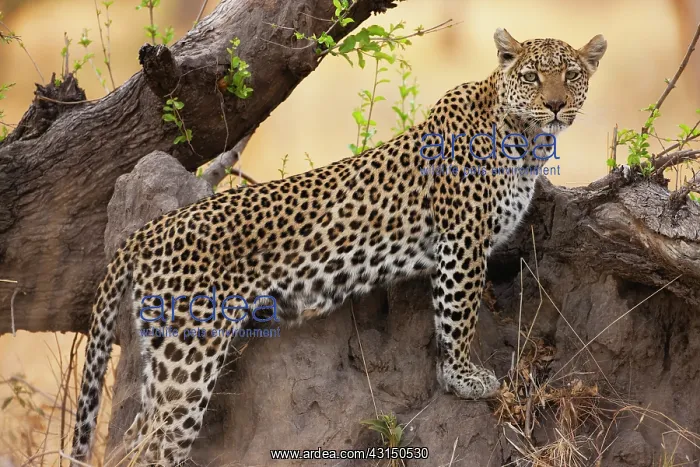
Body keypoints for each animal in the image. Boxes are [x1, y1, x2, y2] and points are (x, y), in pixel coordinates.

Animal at [71, 28, 606, 466]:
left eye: (572, 75)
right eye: (533, 77)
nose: (555, 105)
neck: (524, 140)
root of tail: (148, 230)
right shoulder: (462, 241)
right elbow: (460, 315)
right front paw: (462, 378)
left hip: (163, 351)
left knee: (130, 438)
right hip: (189, 353)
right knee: (151, 444)